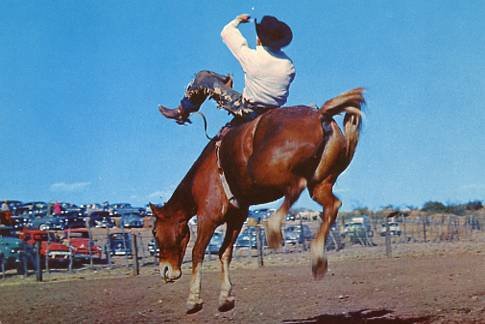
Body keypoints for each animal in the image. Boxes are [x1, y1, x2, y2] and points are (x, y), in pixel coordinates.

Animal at [150, 87, 364, 312]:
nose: (165, 270)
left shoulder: (207, 217)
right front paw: (226, 298)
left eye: (155, 231)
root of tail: (320, 114)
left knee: (296, 186)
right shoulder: (237, 217)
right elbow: (225, 253)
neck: (202, 176)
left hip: (265, 171)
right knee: (332, 205)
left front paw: (193, 300)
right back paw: (317, 259)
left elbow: (198, 252)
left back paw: (274, 229)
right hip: (321, 182)